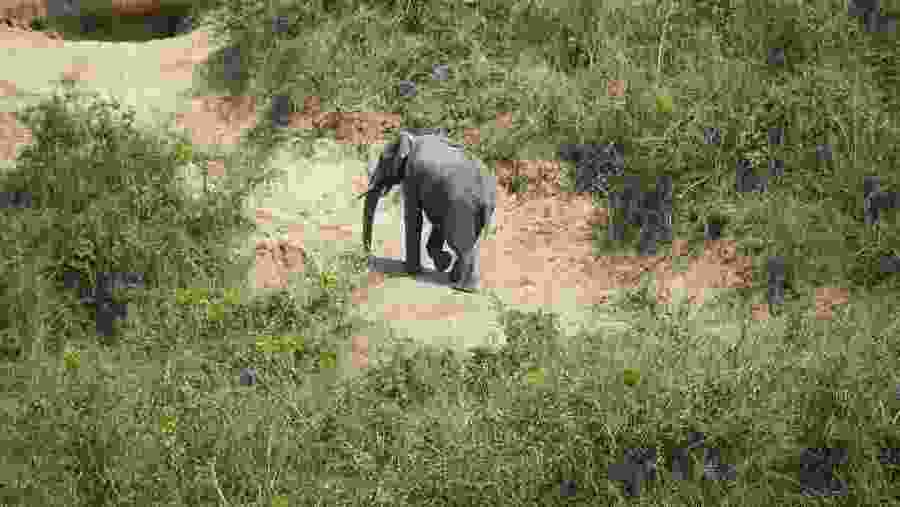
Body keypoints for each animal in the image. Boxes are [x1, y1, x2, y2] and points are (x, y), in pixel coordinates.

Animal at [359, 128, 497, 292]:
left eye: (382, 160)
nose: (367, 255)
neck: (412, 138)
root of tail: (486, 194)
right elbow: (437, 223)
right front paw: (443, 262)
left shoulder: (412, 174)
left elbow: (414, 217)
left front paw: (412, 271)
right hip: (473, 209)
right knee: (468, 241)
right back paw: (458, 280)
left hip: (462, 205)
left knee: (459, 243)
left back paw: (462, 287)